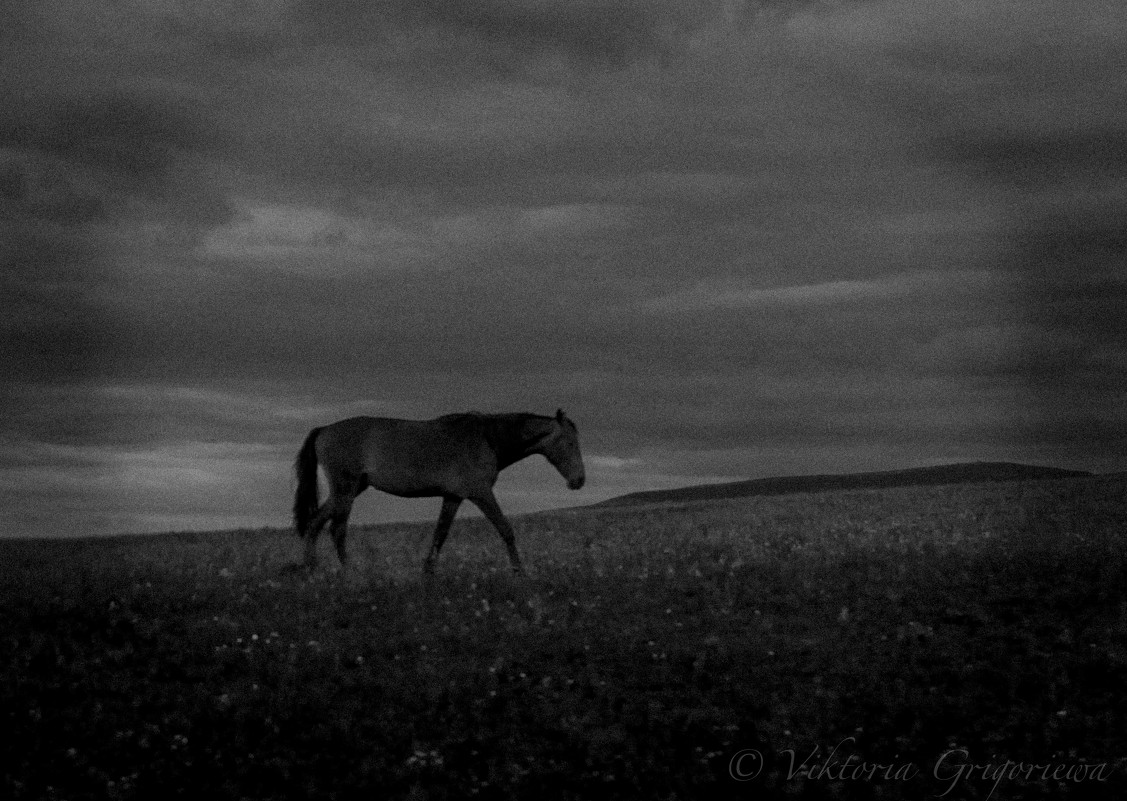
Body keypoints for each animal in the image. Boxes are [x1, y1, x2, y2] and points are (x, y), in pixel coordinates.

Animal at [295, 410, 586, 572]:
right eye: (570, 442)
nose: (579, 481)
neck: (487, 439)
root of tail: (324, 430)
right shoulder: (481, 494)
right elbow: (506, 530)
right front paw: (519, 571)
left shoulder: (453, 497)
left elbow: (440, 534)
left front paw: (428, 572)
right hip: (345, 490)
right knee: (337, 529)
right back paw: (349, 570)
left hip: (349, 490)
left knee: (315, 522)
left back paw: (310, 568)